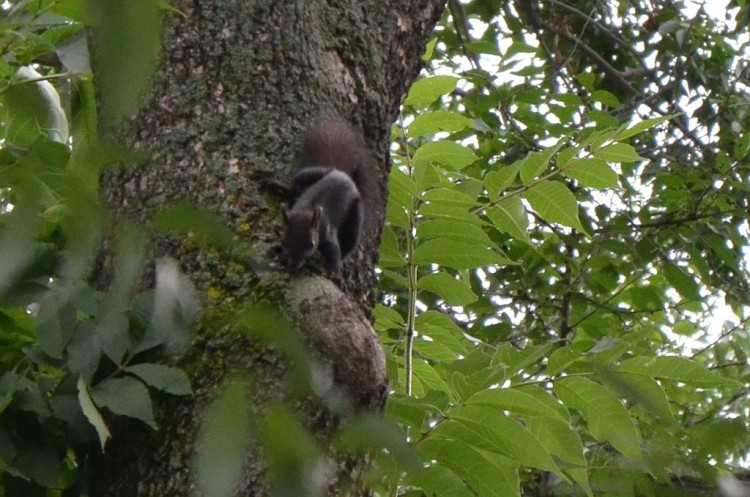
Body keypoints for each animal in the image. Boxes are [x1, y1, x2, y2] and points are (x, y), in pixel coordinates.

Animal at [266, 118, 382, 280]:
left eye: (311, 244)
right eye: (283, 241)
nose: (294, 266)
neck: (306, 212)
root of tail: (341, 173)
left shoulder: (327, 233)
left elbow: (334, 252)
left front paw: (334, 273)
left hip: (356, 212)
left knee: (350, 241)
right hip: (314, 173)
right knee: (296, 185)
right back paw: (281, 187)